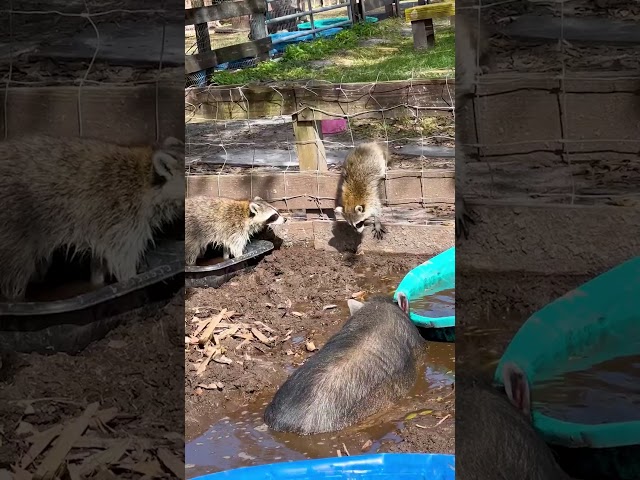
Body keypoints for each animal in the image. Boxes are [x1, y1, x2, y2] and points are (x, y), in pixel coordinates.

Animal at [0, 135, 185, 300]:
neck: (146, 175)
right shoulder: (125, 218)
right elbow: (123, 261)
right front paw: (133, 282)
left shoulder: (105, 227)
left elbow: (100, 257)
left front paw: (97, 283)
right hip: (14, 225)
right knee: (14, 272)